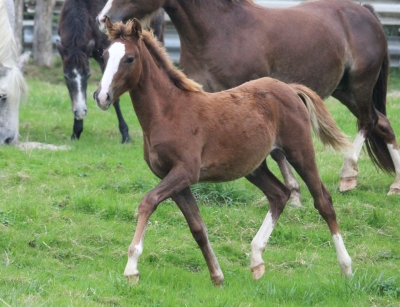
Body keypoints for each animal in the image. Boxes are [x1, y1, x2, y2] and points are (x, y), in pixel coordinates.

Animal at [55, 0, 164, 142]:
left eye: (88, 75)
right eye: (66, 77)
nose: (80, 113)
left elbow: (114, 98)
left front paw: (125, 134)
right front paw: (76, 131)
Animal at [94, 19, 354, 286]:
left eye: (130, 58)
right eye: (104, 55)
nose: (102, 96)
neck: (168, 112)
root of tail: (290, 89)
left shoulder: (185, 172)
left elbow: (148, 202)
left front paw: (132, 268)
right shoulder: (173, 179)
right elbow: (197, 227)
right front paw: (217, 276)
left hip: (300, 151)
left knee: (323, 201)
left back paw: (346, 267)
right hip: (254, 167)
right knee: (279, 194)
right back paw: (256, 260)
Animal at [97, 0, 400, 200]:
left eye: (129, 58)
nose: (103, 17)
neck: (220, 29)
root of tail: (366, 11)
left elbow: (275, 150)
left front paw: (293, 192)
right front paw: (293, 191)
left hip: (360, 86)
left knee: (368, 122)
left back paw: (348, 176)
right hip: (344, 90)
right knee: (383, 124)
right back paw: (395, 185)